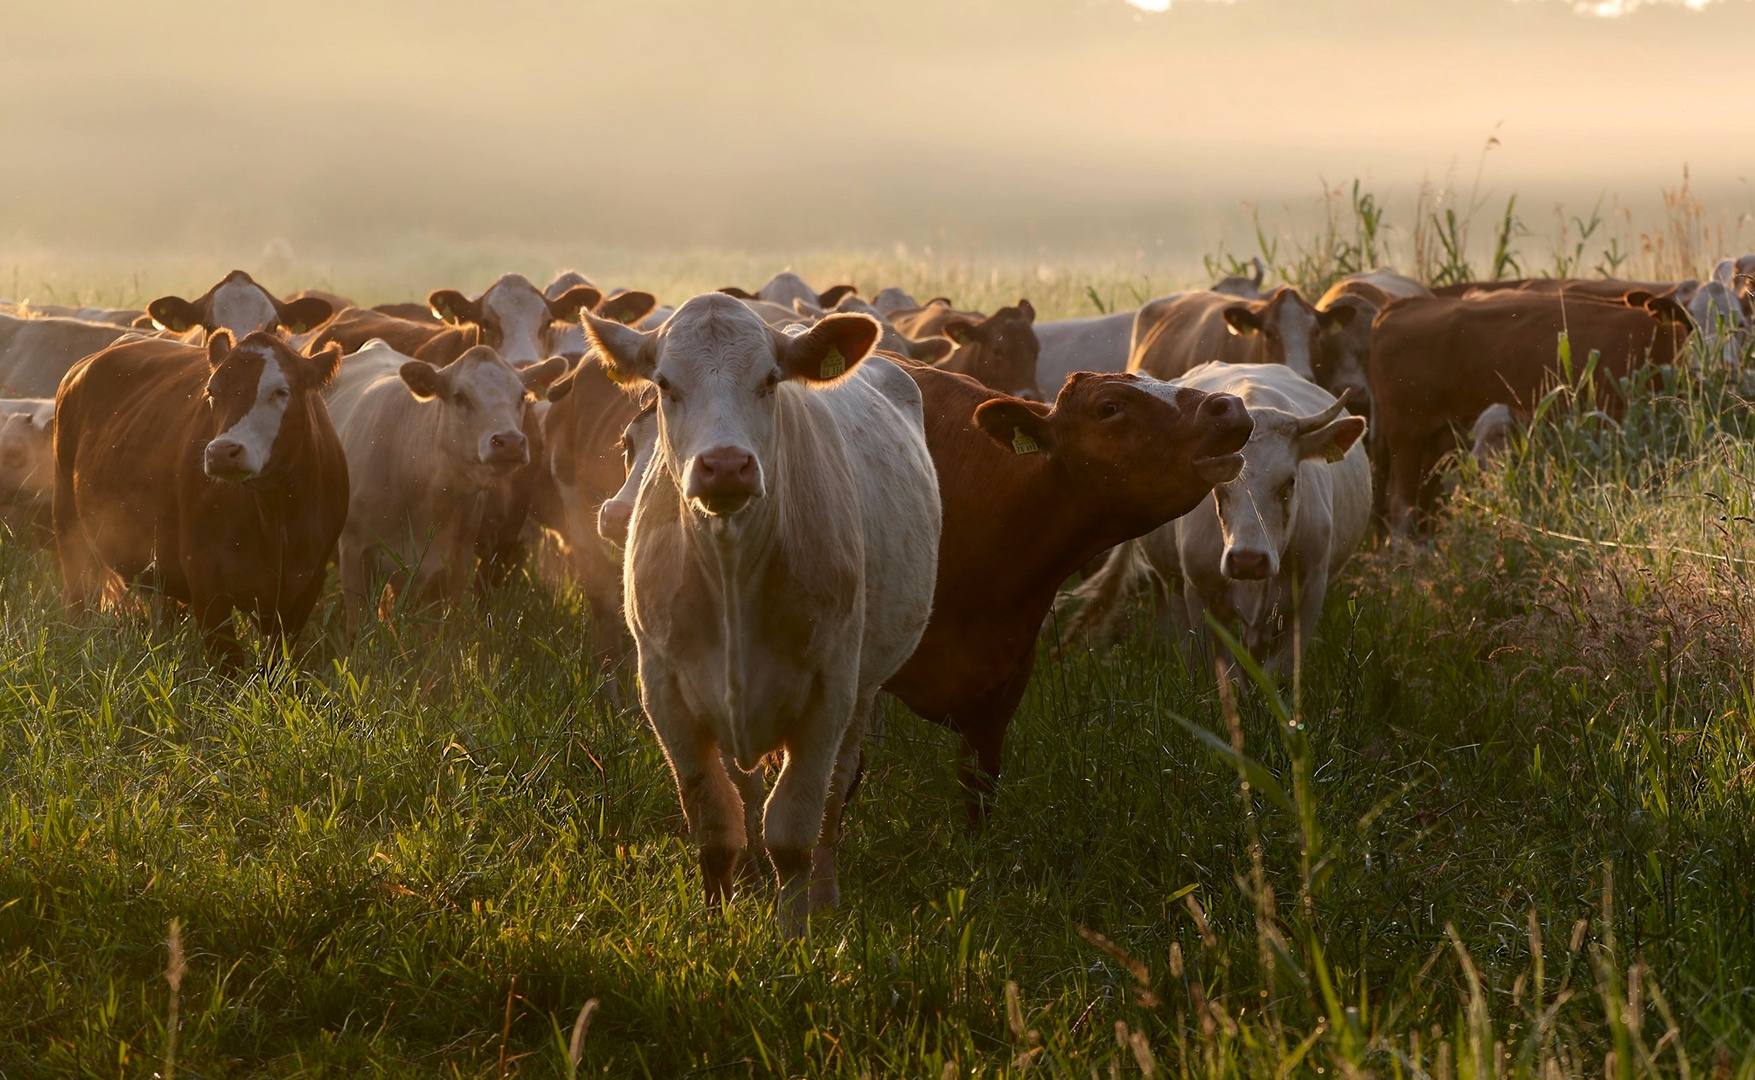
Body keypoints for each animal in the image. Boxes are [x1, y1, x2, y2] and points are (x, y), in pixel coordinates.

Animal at [53, 333, 347, 663]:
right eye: (212, 392)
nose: (222, 452)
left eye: (281, 391)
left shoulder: (306, 586)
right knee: (80, 599)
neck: (276, 513)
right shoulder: (206, 578)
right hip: (70, 528)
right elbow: (227, 660)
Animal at [328, 340, 561, 632]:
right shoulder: (354, 554)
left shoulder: (453, 567)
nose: (509, 442)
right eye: (460, 397)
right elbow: (359, 625)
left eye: (522, 397)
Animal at [586, 295, 947, 941]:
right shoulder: (665, 690)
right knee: (747, 788)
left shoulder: (829, 690)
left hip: (863, 688)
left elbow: (794, 826)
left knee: (834, 791)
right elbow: (715, 821)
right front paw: (715, 927)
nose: (725, 465)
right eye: (666, 384)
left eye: (770, 381)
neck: (732, 572)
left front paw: (793, 935)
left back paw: (823, 893)